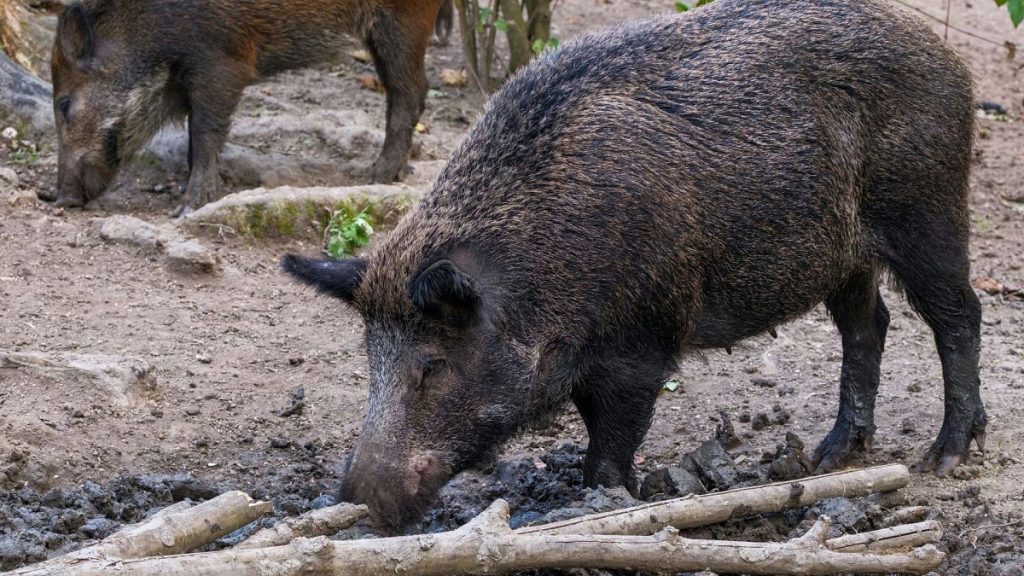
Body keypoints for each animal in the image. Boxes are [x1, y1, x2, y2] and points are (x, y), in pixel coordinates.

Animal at [49, 0, 450, 215]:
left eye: (64, 103)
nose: (63, 199)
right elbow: (194, 140)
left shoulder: (222, 63)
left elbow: (205, 132)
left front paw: (188, 208)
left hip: (403, 23)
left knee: (409, 92)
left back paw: (375, 175)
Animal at [284, 0, 987, 531]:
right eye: (369, 360)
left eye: (431, 364)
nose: (356, 504)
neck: (539, 268)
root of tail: (946, 55)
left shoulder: (643, 341)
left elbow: (614, 438)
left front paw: (602, 502)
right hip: (847, 257)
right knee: (868, 326)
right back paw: (829, 459)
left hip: (927, 210)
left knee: (959, 316)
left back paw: (945, 458)